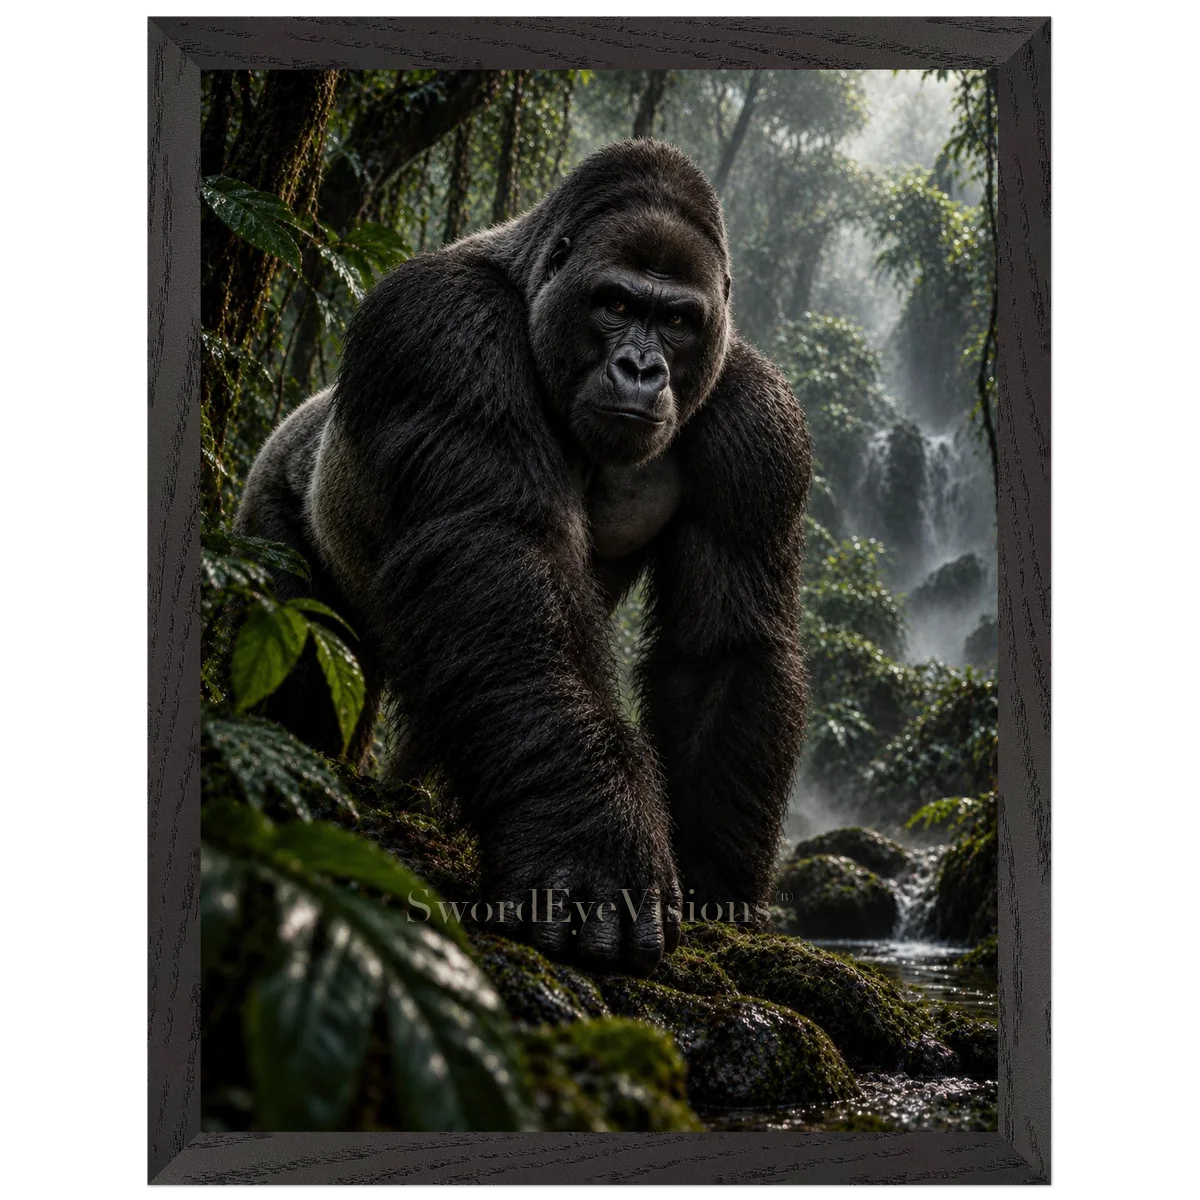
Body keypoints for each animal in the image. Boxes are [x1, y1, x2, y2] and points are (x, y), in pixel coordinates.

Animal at [236, 138, 812, 975]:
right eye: (615, 306)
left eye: (678, 320)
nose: (642, 369)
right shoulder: (444, 325)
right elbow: (501, 556)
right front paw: (594, 848)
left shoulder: (757, 418)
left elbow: (724, 649)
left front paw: (718, 886)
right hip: (268, 505)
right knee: (305, 644)